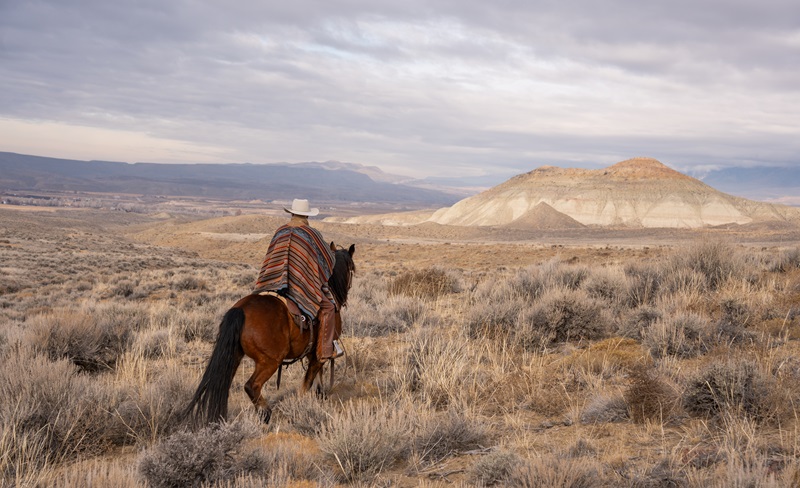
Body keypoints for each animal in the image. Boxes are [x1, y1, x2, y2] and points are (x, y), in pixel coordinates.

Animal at [186, 242, 354, 426]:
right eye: (352, 268)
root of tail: (241, 309)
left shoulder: (313, 354)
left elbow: (318, 379)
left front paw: (320, 398)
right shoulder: (319, 355)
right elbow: (307, 383)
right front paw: (301, 404)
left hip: (235, 355)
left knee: (223, 383)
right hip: (270, 361)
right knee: (251, 386)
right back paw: (265, 413)